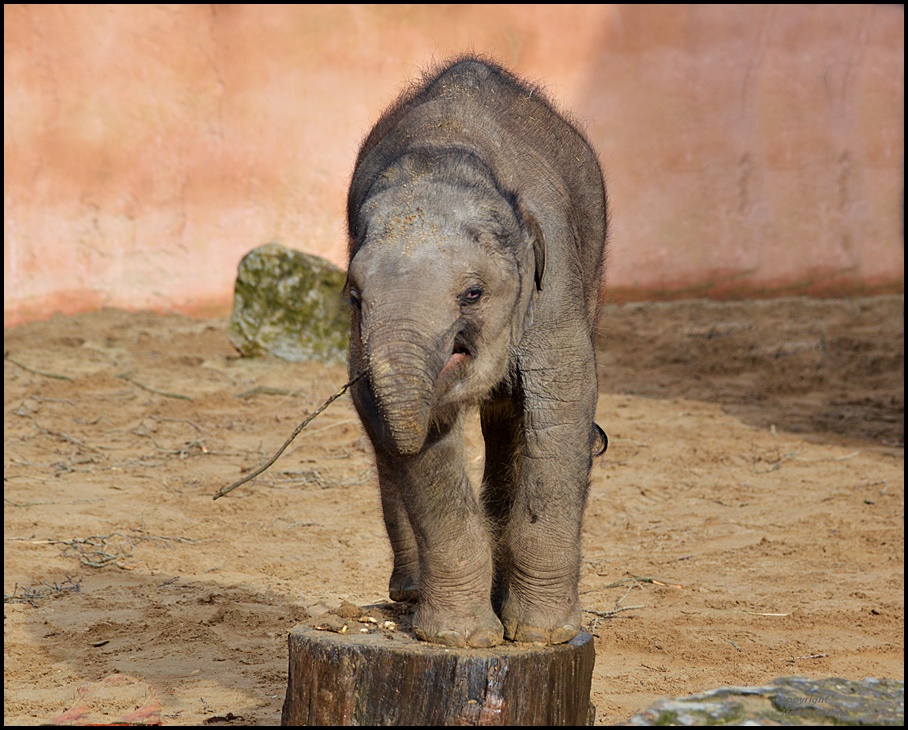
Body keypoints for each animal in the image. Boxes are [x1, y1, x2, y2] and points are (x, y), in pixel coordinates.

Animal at [348, 54, 612, 644]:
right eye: (354, 296)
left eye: (472, 293)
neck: (445, 160)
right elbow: (408, 439)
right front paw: (461, 639)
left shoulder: (555, 285)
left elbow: (561, 402)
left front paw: (541, 634)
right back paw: (411, 593)